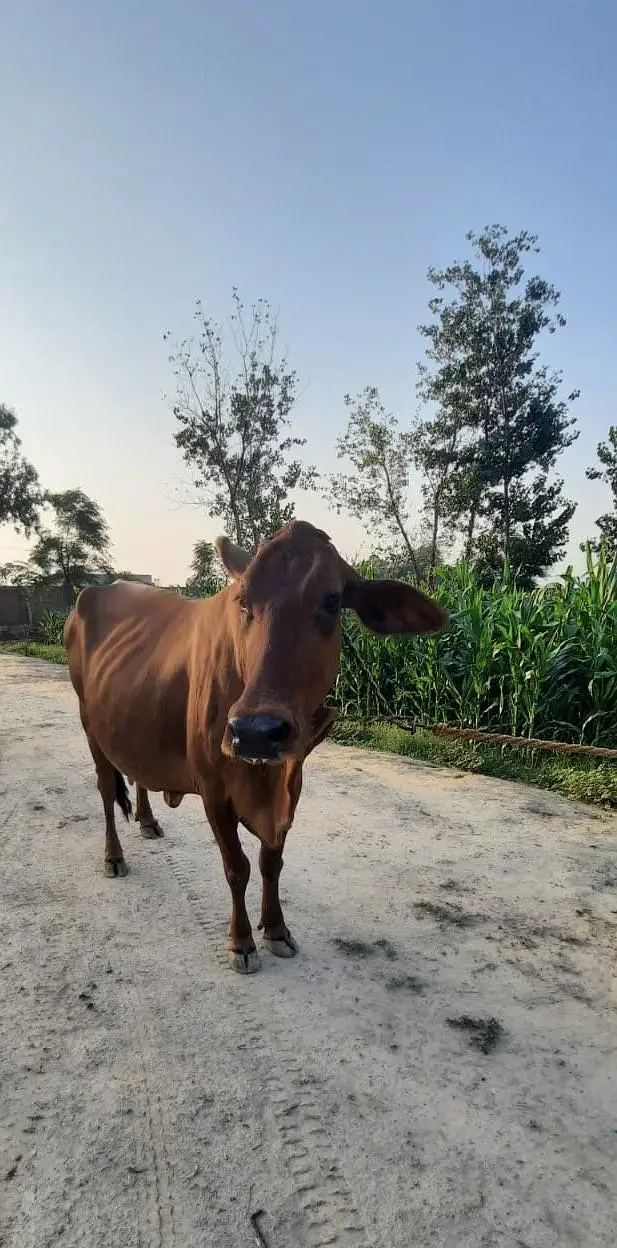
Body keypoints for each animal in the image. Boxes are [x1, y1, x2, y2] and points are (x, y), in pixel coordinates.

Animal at [64, 521, 447, 973]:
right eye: (243, 603)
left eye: (333, 601)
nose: (256, 732)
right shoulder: (213, 790)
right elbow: (237, 867)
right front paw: (242, 941)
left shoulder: (291, 786)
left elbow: (270, 862)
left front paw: (277, 929)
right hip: (88, 723)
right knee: (106, 790)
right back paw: (114, 856)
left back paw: (147, 820)